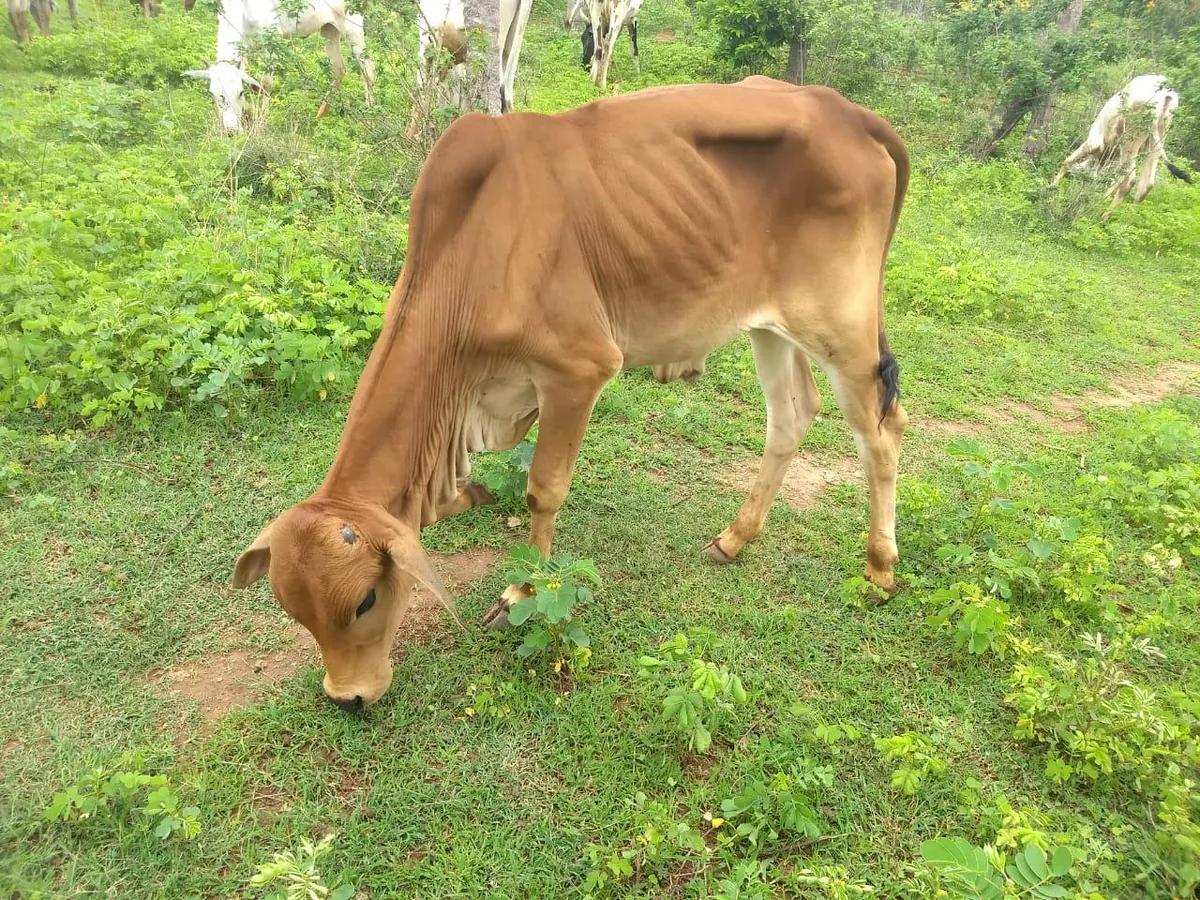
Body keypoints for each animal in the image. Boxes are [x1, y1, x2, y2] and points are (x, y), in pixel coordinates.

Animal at [183, 0, 376, 133]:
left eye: (240, 93)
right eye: (212, 94)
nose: (231, 131)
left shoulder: (271, 39)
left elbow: (265, 84)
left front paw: (261, 121)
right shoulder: (243, 44)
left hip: (352, 22)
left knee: (367, 69)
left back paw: (370, 113)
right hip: (329, 28)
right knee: (338, 69)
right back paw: (320, 114)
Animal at [232, 77, 911, 712]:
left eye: (366, 599)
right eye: (295, 612)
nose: (347, 697)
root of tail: (847, 112)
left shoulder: (577, 370)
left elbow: (543, 490)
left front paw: (524, 590)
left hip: (842, 322)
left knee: (882, 430)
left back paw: (880, 567)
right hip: (770, 326)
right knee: (791, 417)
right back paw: (734, 538)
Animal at [1052, 74, 1192, 219]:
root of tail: (1165, 93)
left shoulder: (1094, 142)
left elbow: (1067, 161)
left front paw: (1052, 187)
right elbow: (1113, 180)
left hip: (1130, 139)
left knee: (1130, 180)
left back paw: (1104, 217)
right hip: (1157, 139)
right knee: (1145, 185)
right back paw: (1126, 219)